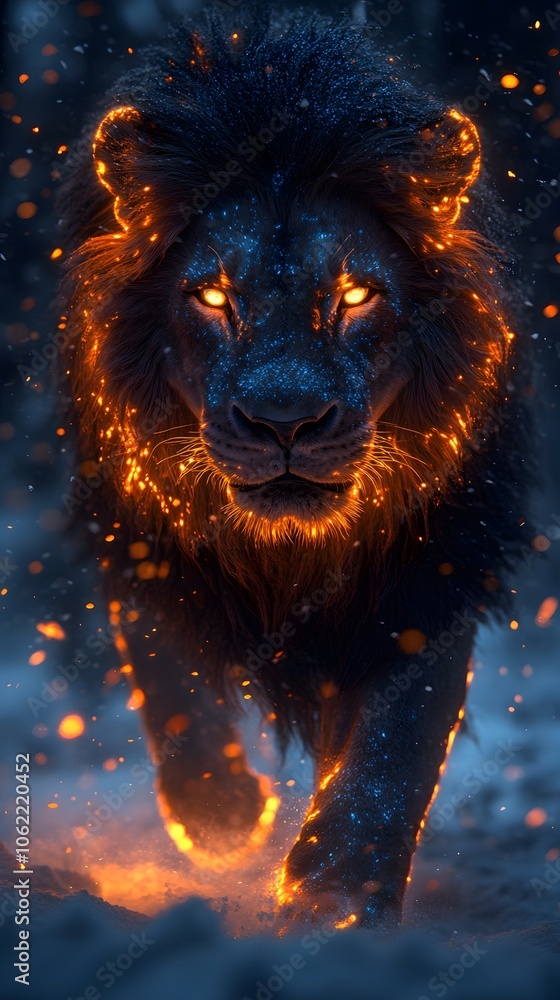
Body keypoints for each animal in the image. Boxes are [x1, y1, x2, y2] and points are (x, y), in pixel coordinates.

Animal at [56, 7, 533, 929]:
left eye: (355, 297)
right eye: (213, 298)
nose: (285, 421)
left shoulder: (434, 564)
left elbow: (395, 742)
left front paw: (337, 895)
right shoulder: (135, 523)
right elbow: (164, 660)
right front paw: (219, 813)